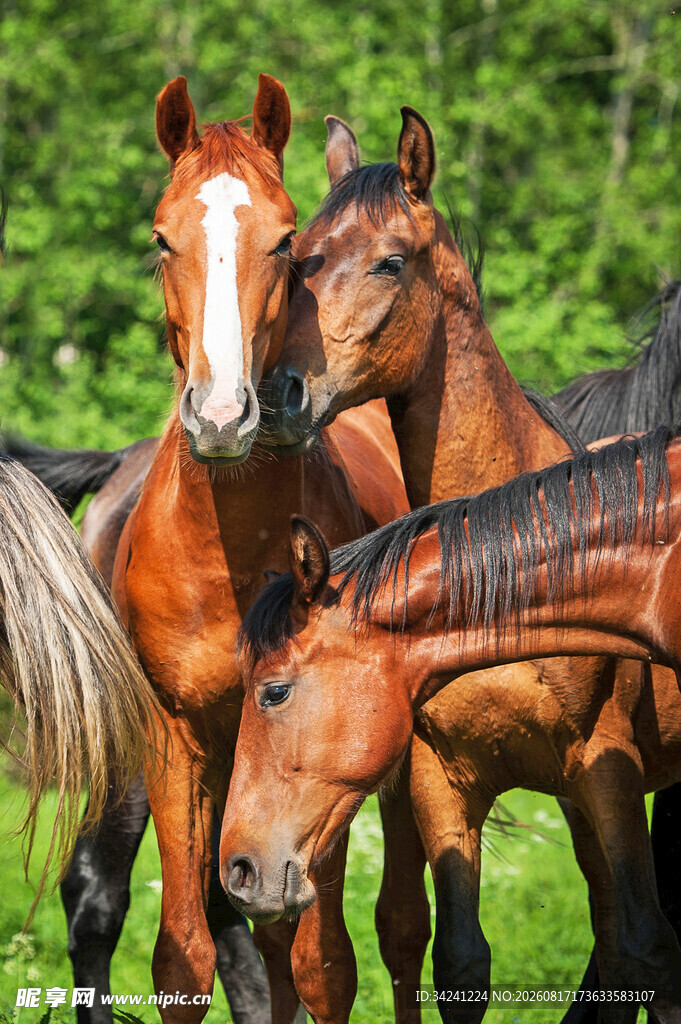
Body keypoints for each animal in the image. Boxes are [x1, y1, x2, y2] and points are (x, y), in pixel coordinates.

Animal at [47, 73, 408, 1024]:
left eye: (287, 242)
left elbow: (320, 961)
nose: (220, 417)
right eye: (159, 237)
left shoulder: (320, 753)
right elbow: (185, 953)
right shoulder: (178, 743)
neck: (231, 562)